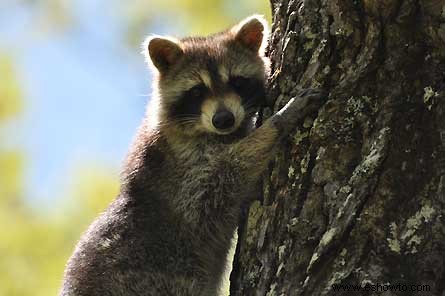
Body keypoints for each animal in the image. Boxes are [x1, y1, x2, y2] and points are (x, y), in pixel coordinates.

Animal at [60, 15, 324, 296]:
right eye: (197, 91)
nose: (223, 119)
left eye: (237, 82)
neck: (209, 131)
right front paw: (277, 123)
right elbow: (226, 175)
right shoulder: (183, 172)